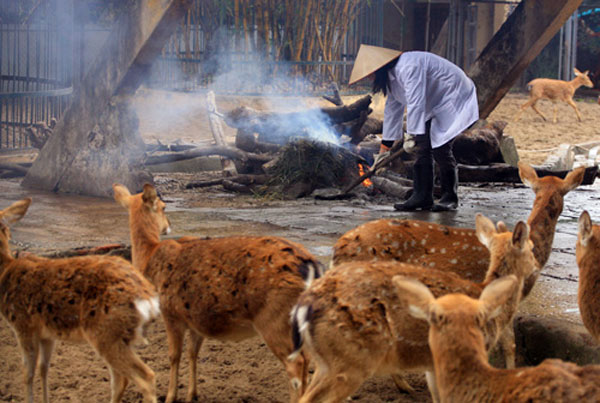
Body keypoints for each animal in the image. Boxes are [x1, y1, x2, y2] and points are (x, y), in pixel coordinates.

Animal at [0, 199, 161, 403]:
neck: (4, 272)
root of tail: (149, 299)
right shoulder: (46, 334)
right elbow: (44, 369)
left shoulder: (23, 326)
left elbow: (27, 374)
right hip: (121, 336)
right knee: (120, 379)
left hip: (106, 332)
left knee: (145, 376)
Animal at [112, 184, 324, 403]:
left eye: (164, 206)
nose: (168, 225)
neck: (149, 257)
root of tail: (312, 267)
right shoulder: (194, 319)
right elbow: (192, 353)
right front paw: (192, 394)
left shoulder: (170, 312)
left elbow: (173, 355)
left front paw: (170, 396)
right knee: (308, 360)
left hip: (275, 318)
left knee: (296, 363)